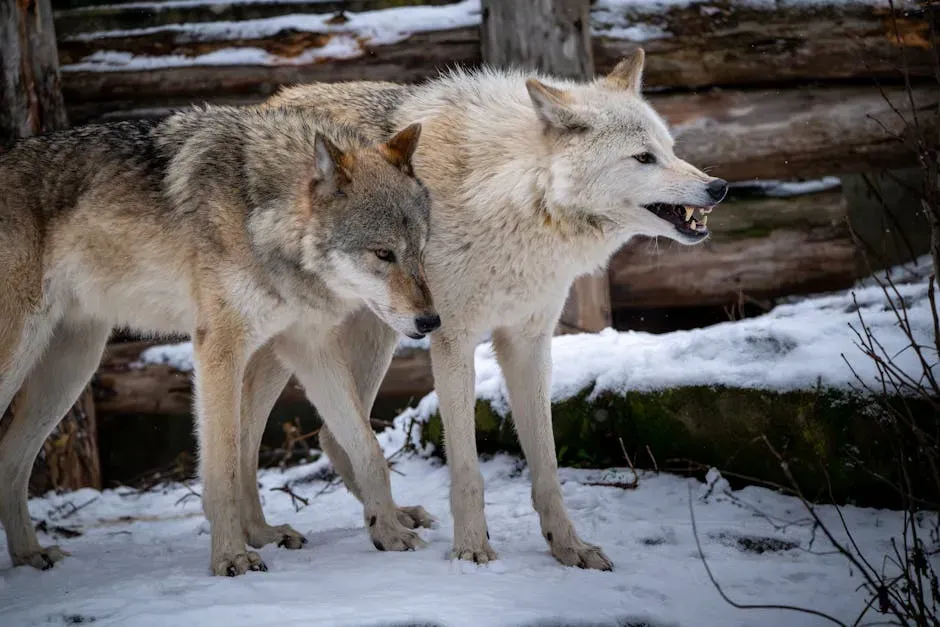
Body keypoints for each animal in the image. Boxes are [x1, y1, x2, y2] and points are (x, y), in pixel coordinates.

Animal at [0, 105, 439, 576]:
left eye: (419, 251)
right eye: (383, 254)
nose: (431, 321)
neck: (258, 216)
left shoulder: (309, 345)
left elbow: (368, 449)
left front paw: (387, 532)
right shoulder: (220, 348)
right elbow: (225, 466)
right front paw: (231, 558)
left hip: (75, 365)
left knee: (11, 460)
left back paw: (30, 554)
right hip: (25, 358)